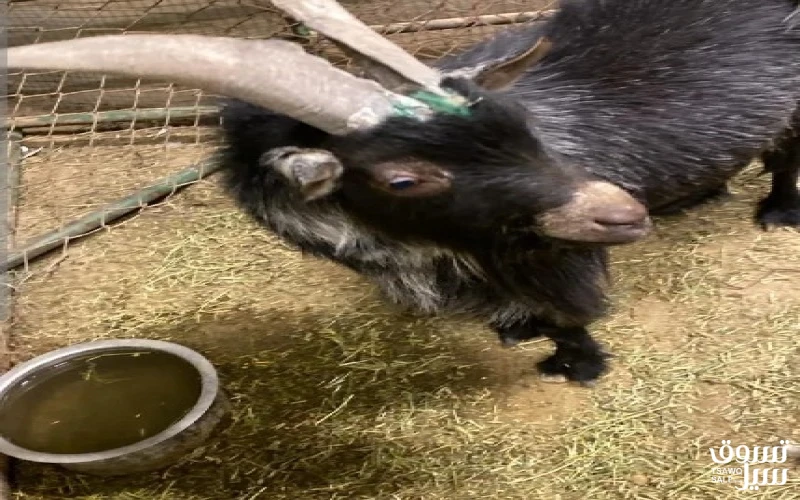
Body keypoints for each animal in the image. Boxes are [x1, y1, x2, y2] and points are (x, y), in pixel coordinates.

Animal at [5, 0, 799, 387]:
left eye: (516, 122)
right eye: (404, 179)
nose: (622, 213)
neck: (430, 251)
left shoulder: (555, 256)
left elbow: (571, 311)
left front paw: (577, 367)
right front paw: (519, 334)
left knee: (785, 153)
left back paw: (778, 212)